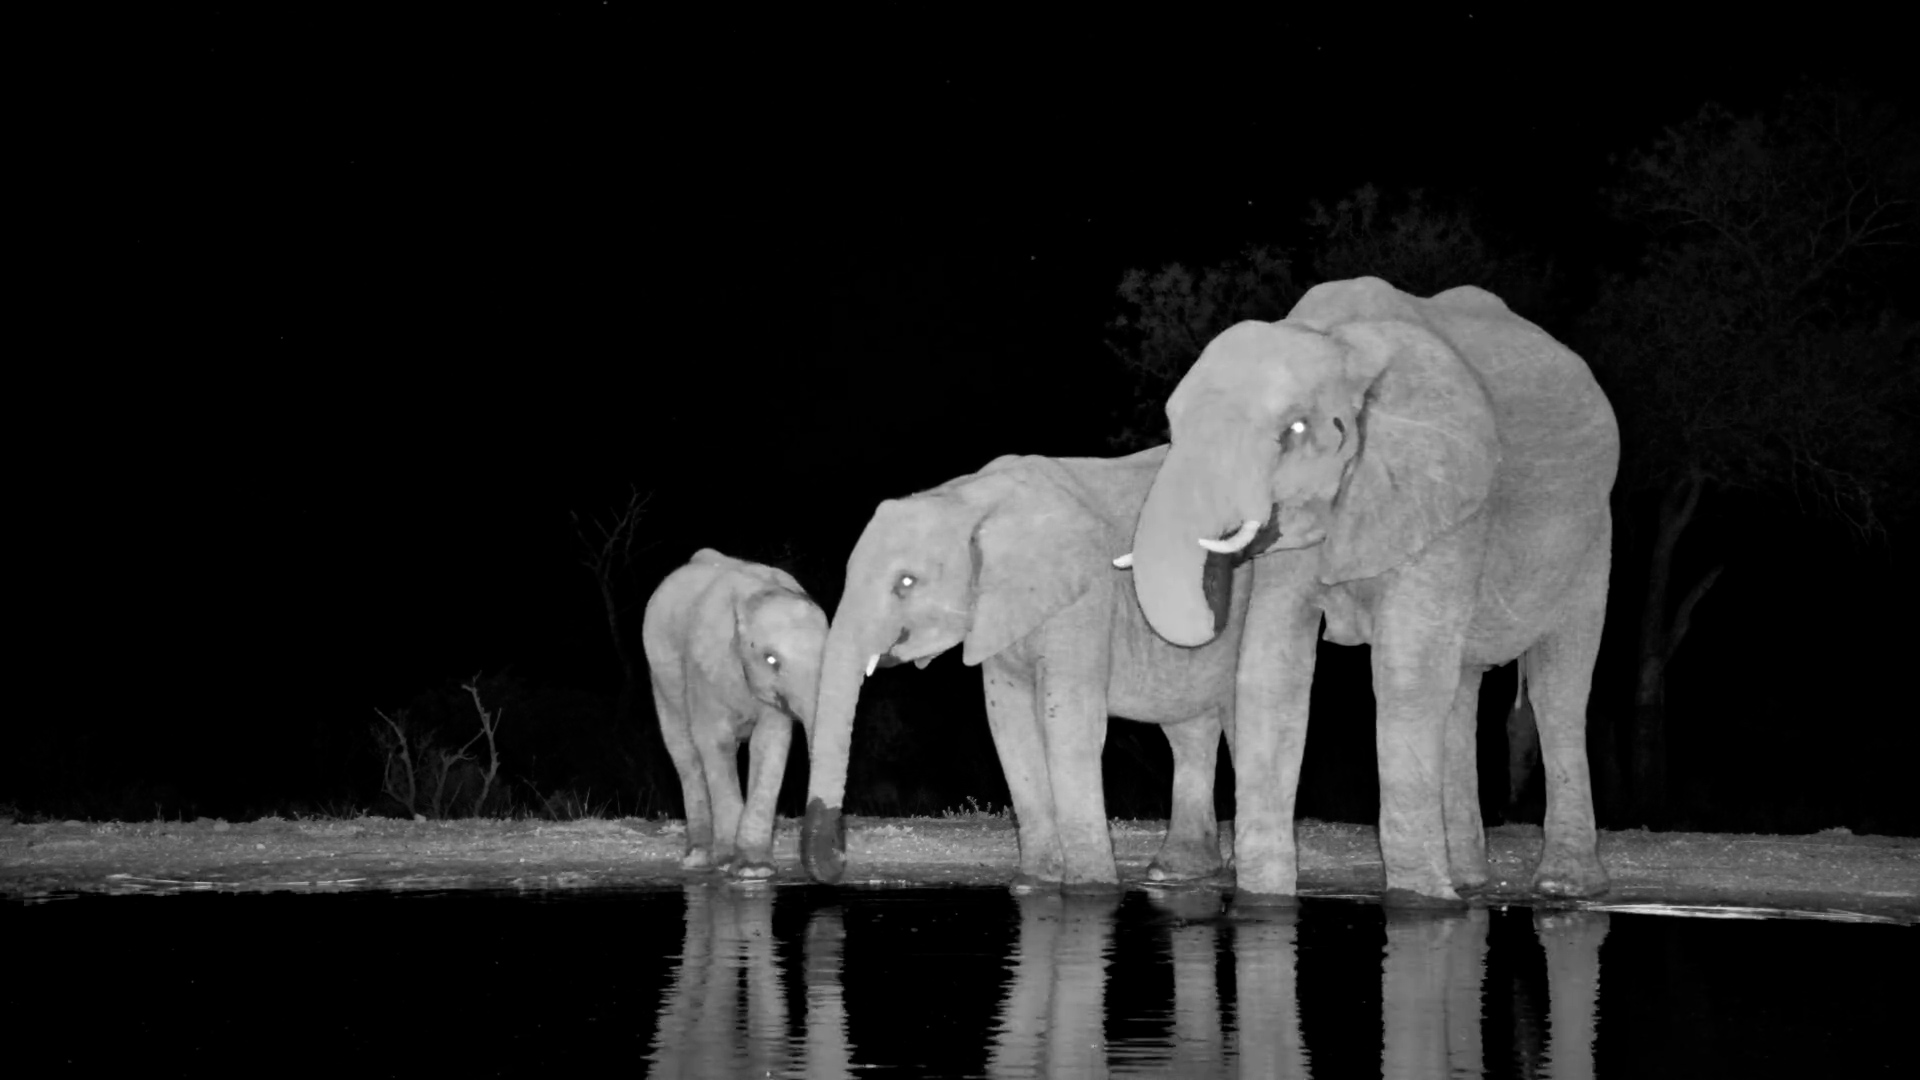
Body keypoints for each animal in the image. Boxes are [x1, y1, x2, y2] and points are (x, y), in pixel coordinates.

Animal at [643, 548, 827, 877]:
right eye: (770, 660)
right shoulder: (704, 668)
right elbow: (716, 743)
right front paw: (731, 863)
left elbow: (770, 745)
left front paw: (755, 870)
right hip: (661, 679)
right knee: (686, 754)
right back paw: (698, 857)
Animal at [799, 446, 1252, 890]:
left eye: (906, 583)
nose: (838, 858)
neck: (971, 499)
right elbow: (1008, 722)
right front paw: (1033, 883)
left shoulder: (1086, 597)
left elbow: (1068, 720)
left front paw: (1089, 889)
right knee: (1189, 731)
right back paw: (1174, 872)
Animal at [1125, 276, 1618, 904]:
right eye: (1172, 430)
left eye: (1295, 431)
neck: (1338, 345)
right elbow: (1270, 669)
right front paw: (1266, 902)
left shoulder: (1450, 498)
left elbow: (1404, 674)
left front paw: (1420, 904)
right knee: (1460, 688)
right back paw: (1470, 881)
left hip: (1592, 531)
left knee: (1559, 684)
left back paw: (1563, 886)